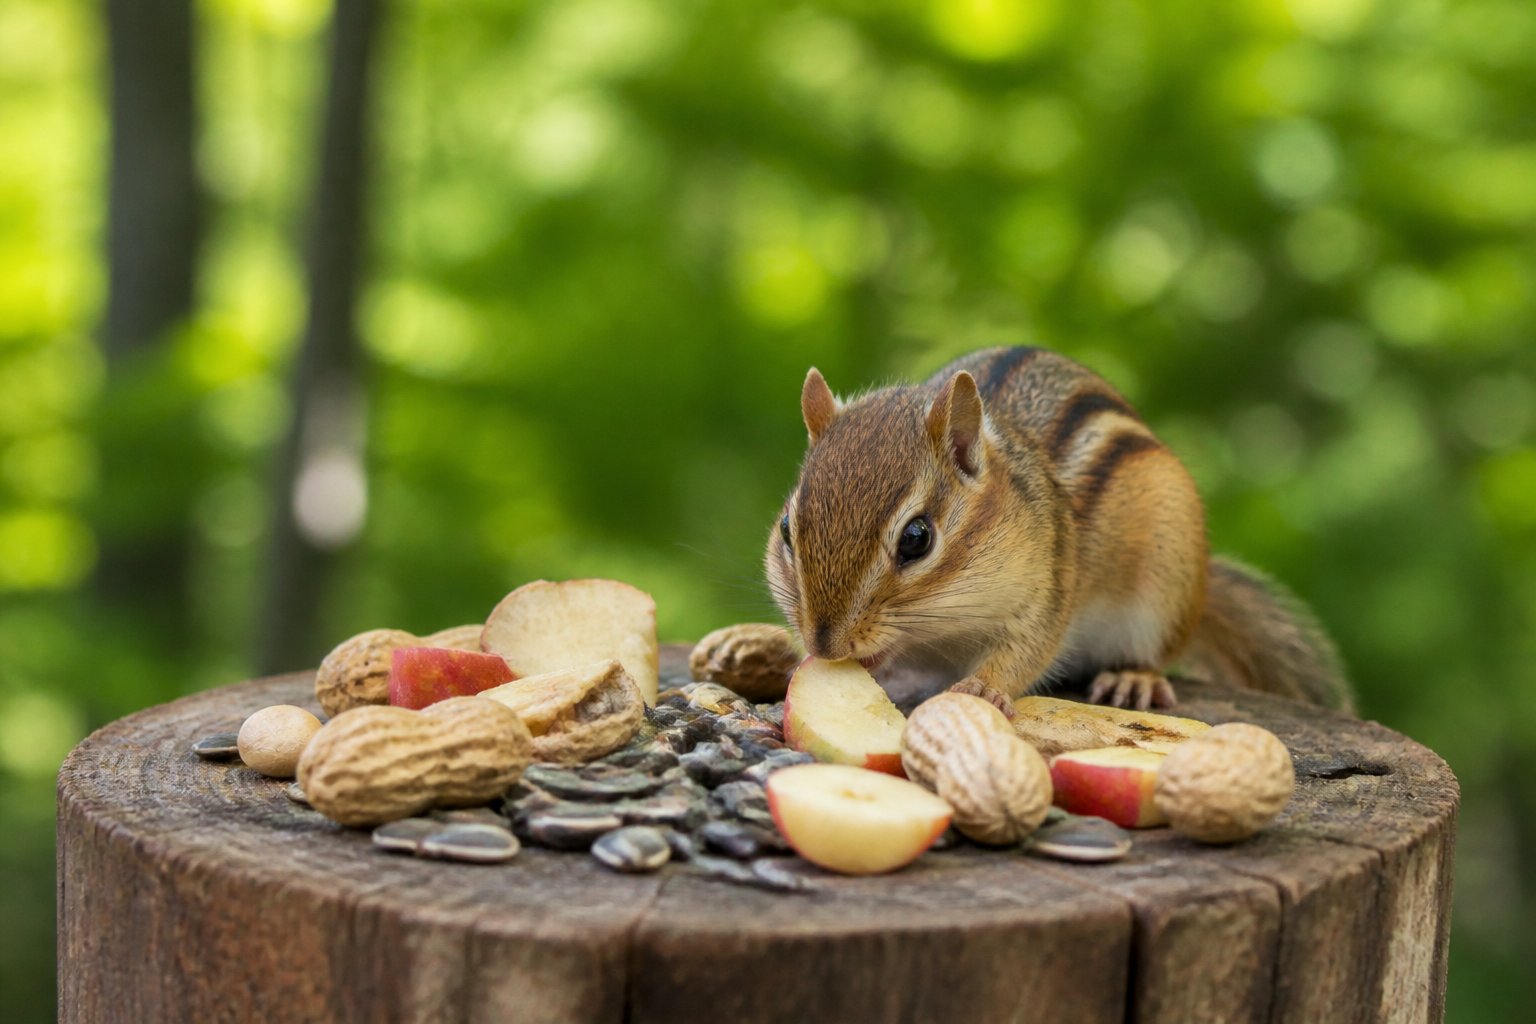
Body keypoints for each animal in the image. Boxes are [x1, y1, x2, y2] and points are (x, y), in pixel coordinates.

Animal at [761, 345, 1353, 713]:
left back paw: (1134, 676)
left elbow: (1028, 648)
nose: (824, 643)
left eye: (916, 538)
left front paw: (984, 688)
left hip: (1167, 583)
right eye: (787, 529)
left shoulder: (1047, 583)